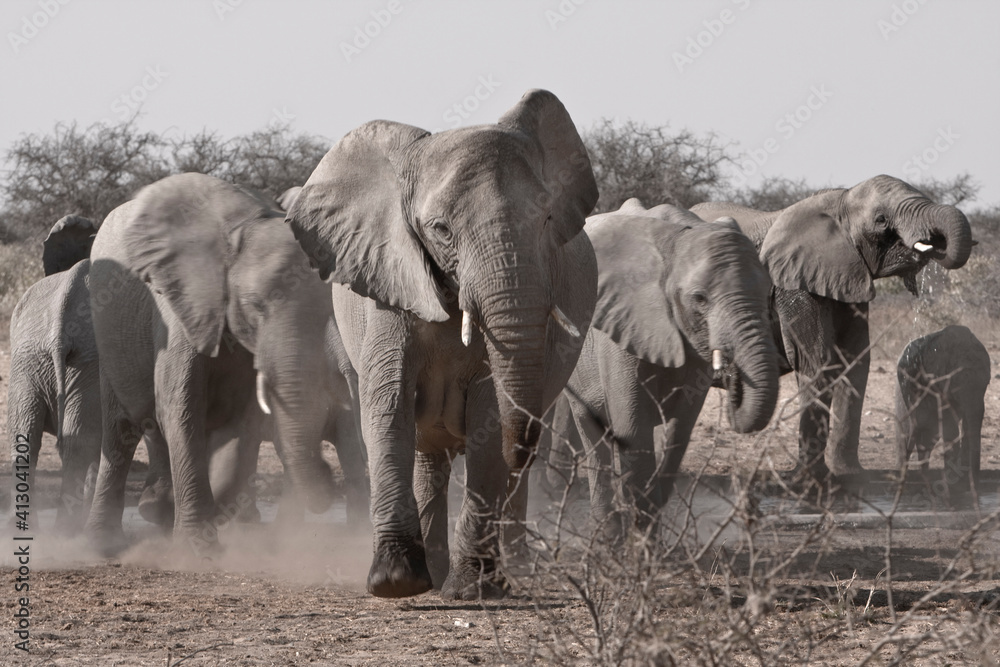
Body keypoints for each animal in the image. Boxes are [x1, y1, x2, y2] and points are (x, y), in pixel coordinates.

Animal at [83, 174, 340, 552]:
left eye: (325, 312)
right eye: (256, 306)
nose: (328, 472)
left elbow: (242, 421)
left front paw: (211, 518)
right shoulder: (180, 311)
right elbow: (180, 406)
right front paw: (197, 549)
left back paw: (158, 510)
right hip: (108, 334)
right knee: (121, 430)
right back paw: (107, 541)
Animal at [286, 87, 596, 600]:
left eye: (546, 220)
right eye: (441, 230)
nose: (526, 448)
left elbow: (490, 415)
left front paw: (473, 589)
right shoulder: (388, 282)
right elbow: (388, 402)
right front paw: (396, 582)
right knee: (425, 451)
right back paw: (431, 571)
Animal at [564, 200, 780, 536]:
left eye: (769, 292)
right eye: (699, 298)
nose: (735, 378)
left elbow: (679, 428)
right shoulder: (621, 324)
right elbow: (633, 428)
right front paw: (639, 543)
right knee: (593, 435)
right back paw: (608, 538)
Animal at [692, 176, 972, 480]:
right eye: (881, 220)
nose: (935, 244)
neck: (840, 201)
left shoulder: (847, 285)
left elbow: (856, 363)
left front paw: (849, 473)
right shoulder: (794, 285)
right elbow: (816, 362)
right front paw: (811, 479)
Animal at [896, 324, 988, 490]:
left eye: (987, 383)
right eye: (956, 382)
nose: (974, 487)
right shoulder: (937, 381)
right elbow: (949, 421)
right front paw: (954, 485)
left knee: (928, 436)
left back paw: (925, 480)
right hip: (908, 387)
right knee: (920, 428)